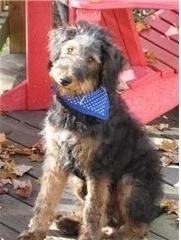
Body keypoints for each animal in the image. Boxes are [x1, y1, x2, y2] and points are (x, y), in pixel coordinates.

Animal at [18, 21, 163, 240]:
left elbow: (93, 211)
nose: (64, 79)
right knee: (105, 214)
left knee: (136, 226)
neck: (77, 108)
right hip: (79, 182)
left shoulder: (98, 168)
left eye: (91, 60)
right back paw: (71, 222)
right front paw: (34, 232)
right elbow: (45, 199)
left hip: (131, 183)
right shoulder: (56, 159)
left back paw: (113, 235)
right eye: (70, 50)